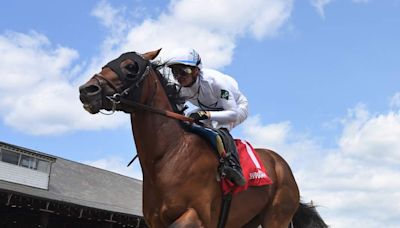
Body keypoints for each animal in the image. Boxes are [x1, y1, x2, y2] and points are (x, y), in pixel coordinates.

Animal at [79, 49, 328, 228]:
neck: (168, 156)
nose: (87, 90)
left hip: (277, 216)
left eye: (131, 66)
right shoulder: (156, 221)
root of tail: (281, 164)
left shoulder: (196, 215)